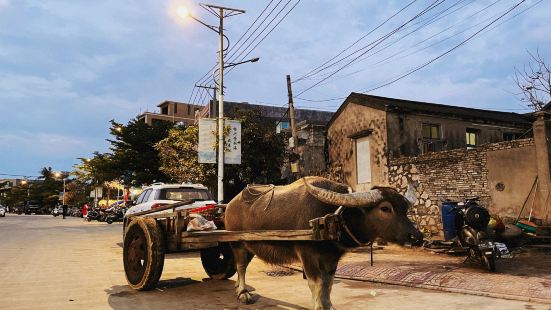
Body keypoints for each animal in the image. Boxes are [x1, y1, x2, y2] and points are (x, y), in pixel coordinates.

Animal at [224, 177, 422, 310]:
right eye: (385, 208)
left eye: (405, 209)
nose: (417, 237)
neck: (332, 217)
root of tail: (230, 205)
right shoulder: (307, 255)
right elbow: (316, 283)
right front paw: (318, 306)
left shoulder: (332, 258)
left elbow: (328, 283)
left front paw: (329, 305)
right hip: (237, 244)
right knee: (241, 266)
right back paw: (243, 293)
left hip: (250, 246)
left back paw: (237, 287)